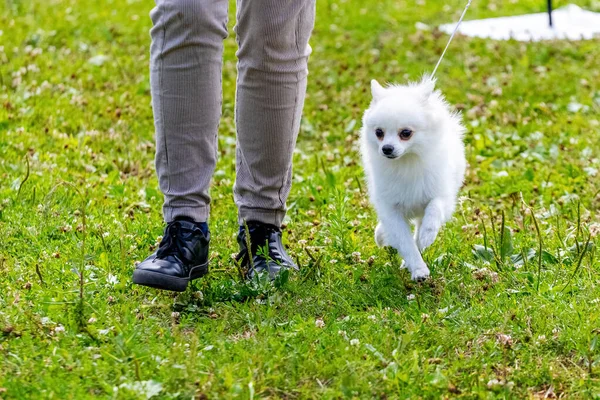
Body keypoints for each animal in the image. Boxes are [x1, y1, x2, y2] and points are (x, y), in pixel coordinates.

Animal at [358, 76, 466, 282]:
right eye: (379, 132)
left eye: (406, 133)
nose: (387, 148)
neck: (406, 162)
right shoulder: (391, 210)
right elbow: (405, 242)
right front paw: (418, 269)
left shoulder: (442, 195)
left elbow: (434, 209)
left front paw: (427, 234)